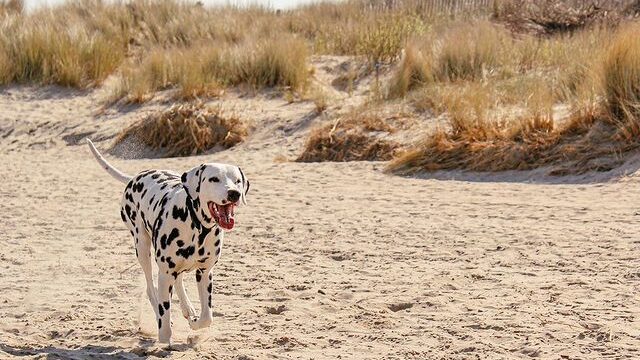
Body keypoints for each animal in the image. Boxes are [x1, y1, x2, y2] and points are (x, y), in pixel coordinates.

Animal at [87, 140, 250, 344]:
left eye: (237, 180)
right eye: (214, 179)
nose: (234, 193)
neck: (196, 227)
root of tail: (134, 178)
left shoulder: (205, 273)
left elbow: (207, 317)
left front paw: (194, 323)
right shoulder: (164, 274)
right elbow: (165, 315)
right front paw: (165, 338)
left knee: (178, 280)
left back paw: (188, 309)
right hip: (142, 248)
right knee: (151, 288)